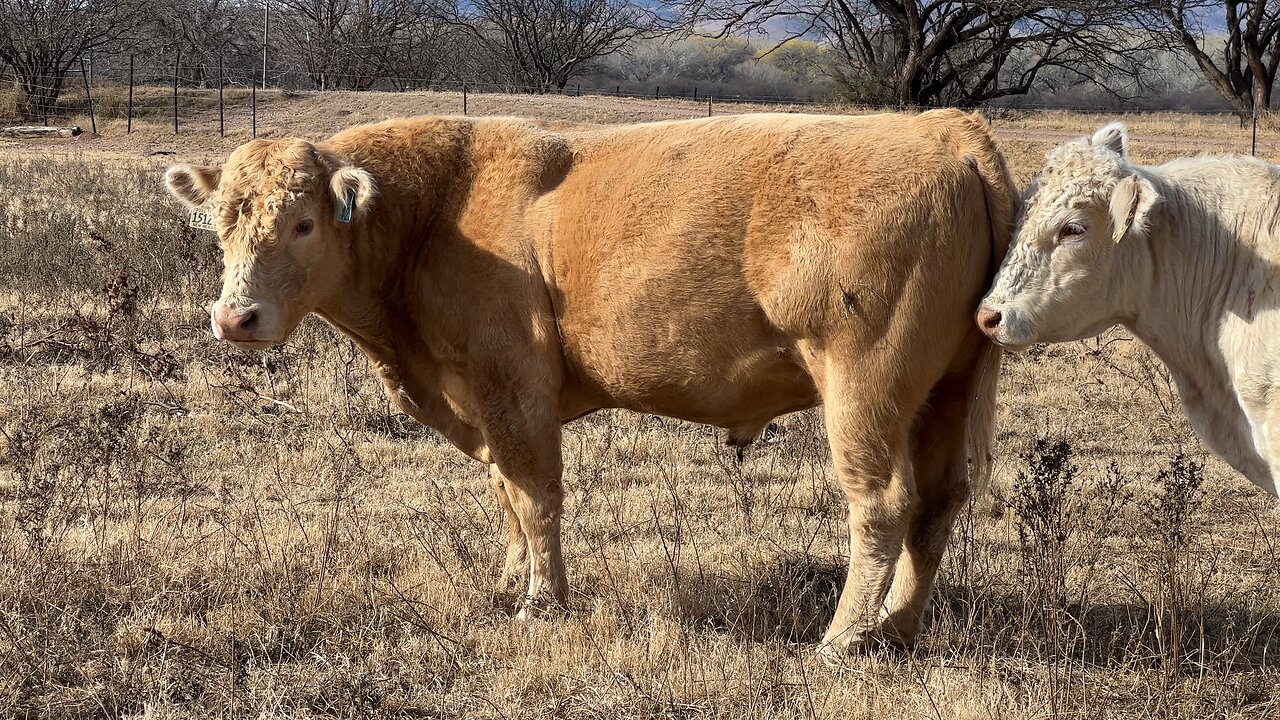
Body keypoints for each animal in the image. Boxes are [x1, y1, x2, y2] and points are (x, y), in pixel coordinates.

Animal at [165, 110, 1013, 650]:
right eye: (222, 224)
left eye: (303, 223)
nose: (234, 318)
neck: (438, 210)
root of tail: (939, 127)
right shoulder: (486, 398)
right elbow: (508, 497)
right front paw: (510, 584)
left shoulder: (513, 386)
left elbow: (536, 496)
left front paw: (543, 602)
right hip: (944, 394)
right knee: (938, 505)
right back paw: (896, 630)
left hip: (863, 391)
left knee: (883, 507)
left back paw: (844, 638)